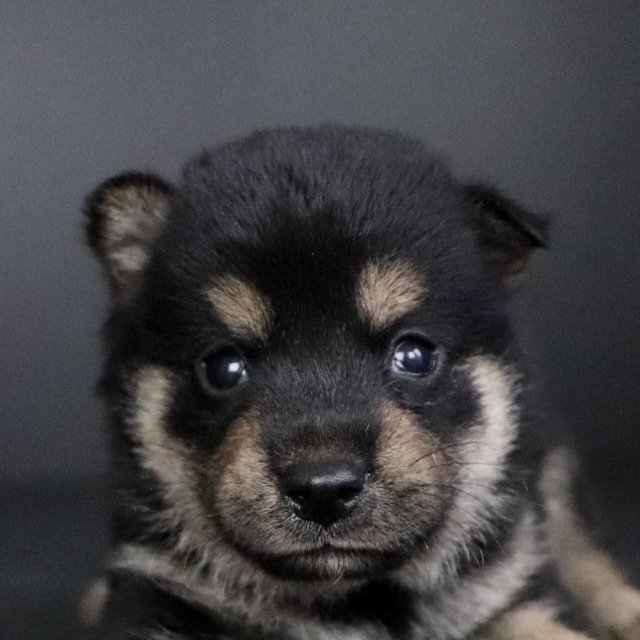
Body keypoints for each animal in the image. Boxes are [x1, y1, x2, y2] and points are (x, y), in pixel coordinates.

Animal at [81, 126, 640, 639]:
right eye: (223, 367)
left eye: (414, 355)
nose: (323, 490)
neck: (351, 599)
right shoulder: (158, 594)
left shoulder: (503, 595)